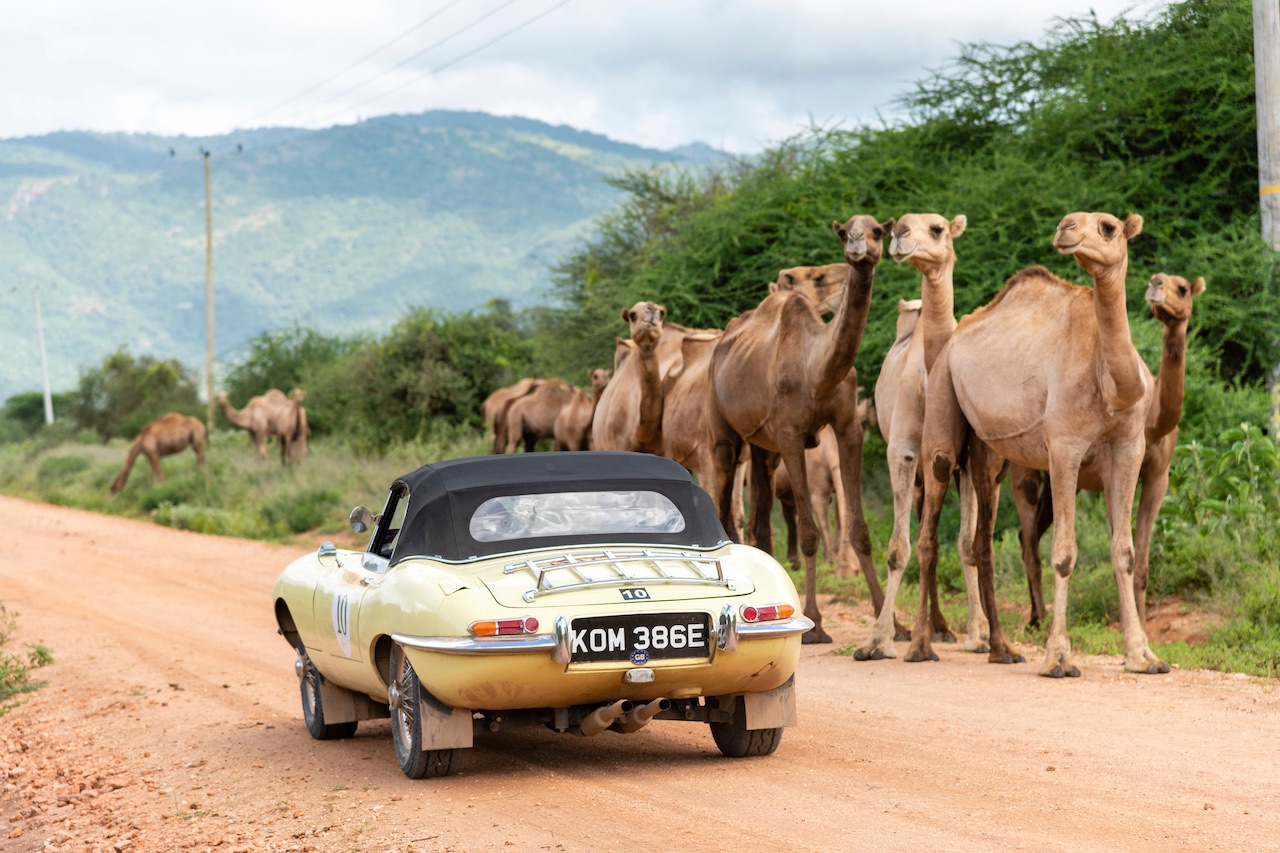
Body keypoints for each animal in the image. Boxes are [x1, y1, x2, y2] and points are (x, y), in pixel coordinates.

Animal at [706, 213, 896, 645]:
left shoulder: (848, 427)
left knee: (760, 517)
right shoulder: (791, 435)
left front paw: (891, 621)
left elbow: (859, 528)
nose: (858, 249)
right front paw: (817, 625)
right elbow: (809, 533)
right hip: (724, 432)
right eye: (845, 232)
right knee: (724, 494)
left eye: (878, 230)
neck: (817, 370)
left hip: (762, 446)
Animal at [855, 211, 993, 655]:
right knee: (918, 530)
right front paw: (879, 639)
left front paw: (978, 634)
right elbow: (899, 548)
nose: (900, 235)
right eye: (898, 223)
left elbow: (965, 545)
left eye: (938, 229)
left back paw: (941, 628)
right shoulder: (902, 451)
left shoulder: (963, 462)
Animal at [916, 208, 1167, 676]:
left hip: (987, 451)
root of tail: (951, 339)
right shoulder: (1065, 446)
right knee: (930, 518)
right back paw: (918, 645)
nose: (1066, 226)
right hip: (940, 397)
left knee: (979, 539)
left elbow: (1123, 551)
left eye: (1108, 227)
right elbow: (1064, 553)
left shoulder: (1130, 447)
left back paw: (1000, 649)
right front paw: (1059, 657)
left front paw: (1144, 656)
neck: (1111, 383)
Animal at [1013, 272, 1203, 625]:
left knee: (1026, 534)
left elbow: (1140, 560)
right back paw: (1037, 620)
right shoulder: (1109, 471)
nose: (1156, 284)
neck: (1153, 424)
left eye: (1183, 289)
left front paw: (1140, 622)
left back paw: (1037, 615)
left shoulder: (1159, 475)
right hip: (1022, 463)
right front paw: (1129, 624)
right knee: (1027, 534)